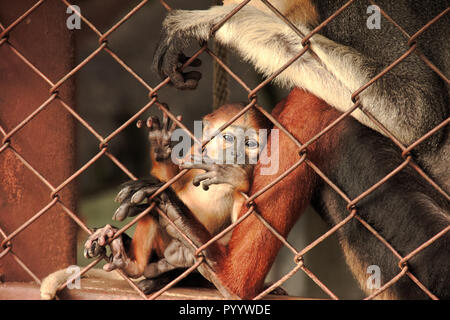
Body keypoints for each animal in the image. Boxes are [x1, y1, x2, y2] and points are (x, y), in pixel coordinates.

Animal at [82, 104, 270, 294]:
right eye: (228, 138)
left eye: (249, 144)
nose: (236, 154)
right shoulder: (195, 152)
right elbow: (173, 182)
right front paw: (161, 148)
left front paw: (234, 175)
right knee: (151, 209)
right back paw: (129, 261)